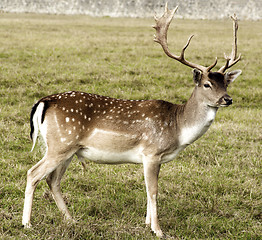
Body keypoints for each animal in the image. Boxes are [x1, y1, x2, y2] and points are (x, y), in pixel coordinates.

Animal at [22, 3, 242, 238]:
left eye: (226, 83)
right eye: (207, 84)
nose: (227, 99)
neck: (178, 128)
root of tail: (43, 101)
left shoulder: (152, 158)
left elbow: (147, 190)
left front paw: (146, 223)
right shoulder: (152, 152)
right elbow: (153, 191)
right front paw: (158, 230)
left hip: (69, 149)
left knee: (52, 180)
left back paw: (71, 220)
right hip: (61, 144)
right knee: (33, 173)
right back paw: (27, 223)